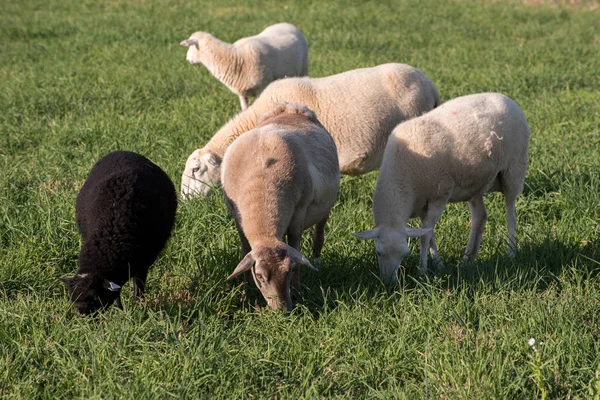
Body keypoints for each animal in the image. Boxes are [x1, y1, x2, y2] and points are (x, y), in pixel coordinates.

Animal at [58, 152, 178, 314]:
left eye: (95, 297)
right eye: (72, 299)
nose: (83, 316)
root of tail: (126, 152)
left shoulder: (143, 262)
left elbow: (138, 285)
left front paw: (138, 306)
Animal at [180, 23, 308, 111]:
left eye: (190, 46)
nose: (187, 59)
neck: (236, 56)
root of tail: (288, 24)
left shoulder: (261, 87)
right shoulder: (241, 93)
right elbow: (245, 110)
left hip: (304, 67)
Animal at [221, 101, 342, 310]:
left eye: (289, 270)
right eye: (259, 276)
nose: (283, 311)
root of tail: (290, 107)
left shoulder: (299, 211)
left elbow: (295, 246)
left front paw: (298, 291)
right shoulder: (237, 216)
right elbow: (245, 250)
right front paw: (246, 294)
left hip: (325, 207)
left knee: (319, 234)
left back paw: (317, 261)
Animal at [352, 93, 528, 284]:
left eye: (404, 255)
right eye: (378, 253)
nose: (390, 283)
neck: (403, 181)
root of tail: (505, 98)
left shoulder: (439, 196)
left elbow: (425, 237)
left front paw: (423, 270)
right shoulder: (422, 204)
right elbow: (429, 235)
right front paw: (438, 264)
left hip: (513, 170)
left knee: (511, 214)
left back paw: (511, 253)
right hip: (476, 183)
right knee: (479, 217)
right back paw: (468, 258)